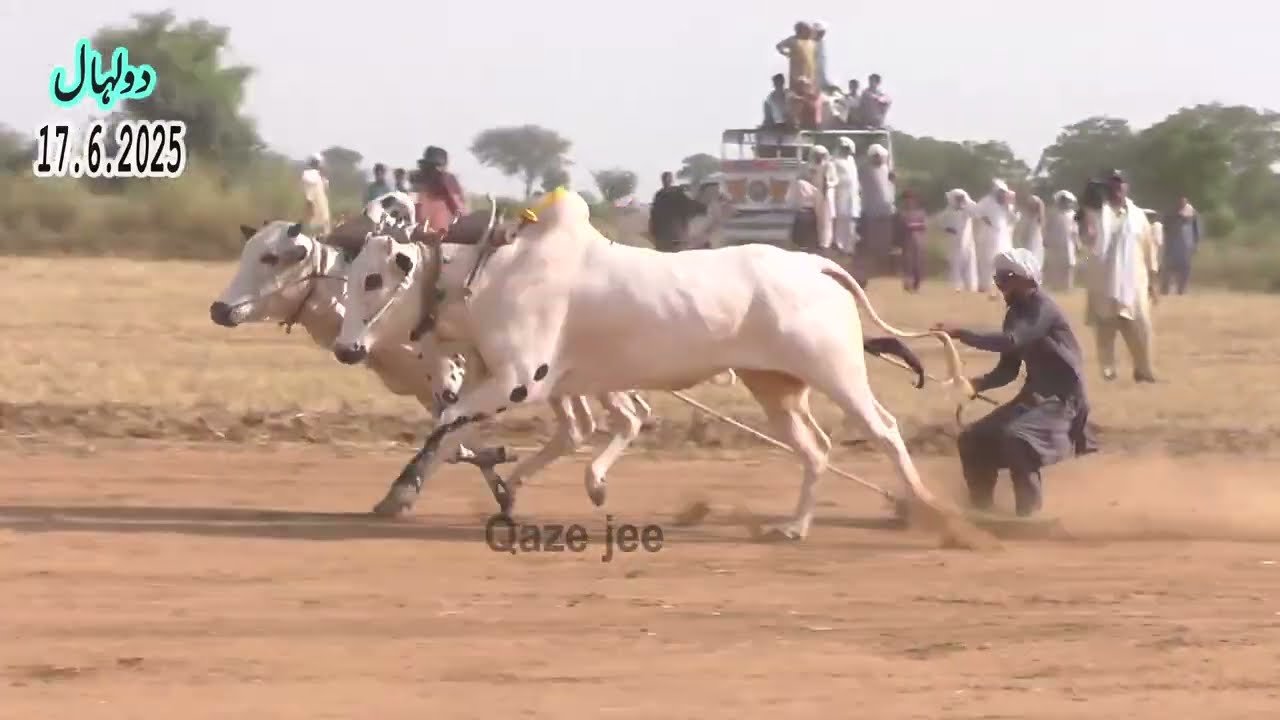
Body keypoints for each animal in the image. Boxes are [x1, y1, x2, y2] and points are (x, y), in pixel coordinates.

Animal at [334, 188, 969, 541]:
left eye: (374, 278)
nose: (345, 348)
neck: (487, 274)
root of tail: (816, 265)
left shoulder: (519, 382)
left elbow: (449, 427)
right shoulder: (536, 384)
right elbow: (464, 434)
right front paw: (499, 490)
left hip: (837, 373)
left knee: (884, 430)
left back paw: (932, 514)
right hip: (775, 388)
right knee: (816, 449)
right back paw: (793, 526)